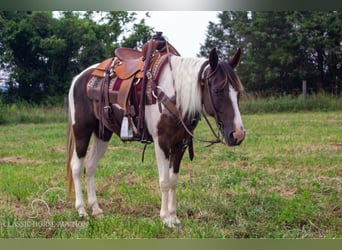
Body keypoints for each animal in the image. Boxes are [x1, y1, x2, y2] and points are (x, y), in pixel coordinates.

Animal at [65, 37, 244, 229]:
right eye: (217, 90)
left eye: (238, 93)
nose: (238, 135)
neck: (174, 93)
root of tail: (79, 78)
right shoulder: (162, 142)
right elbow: (164, 181)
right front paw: (165, 219)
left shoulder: (180, 143)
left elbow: (173, 180)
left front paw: (174, 217)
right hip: (81, 130)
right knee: (77, 166)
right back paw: (82, 210)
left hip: (103, 133)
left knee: (90, 166)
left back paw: (96, 210)